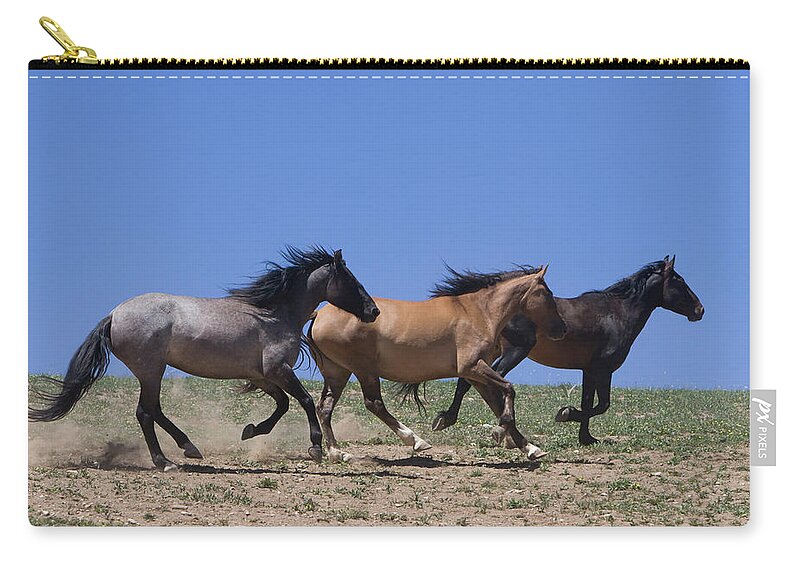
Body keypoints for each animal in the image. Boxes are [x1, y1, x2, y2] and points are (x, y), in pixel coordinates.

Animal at [29, 246, 380, 468]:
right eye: (351, 280)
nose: (373, 311)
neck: (275, 314)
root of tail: (114, 315)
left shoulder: (262, 375)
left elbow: (281, 405)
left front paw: (250, 430)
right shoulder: (278, 370)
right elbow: (305, 401)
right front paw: (315, 448)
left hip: (152, 371)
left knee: (153, 411)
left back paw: (188, 448)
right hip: (151, 370)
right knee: (145, 412)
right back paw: (166, 461)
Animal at [308, 266, 568, 462]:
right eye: (547, 294)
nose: (562, 329)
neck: (480, 312)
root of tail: (318, 315)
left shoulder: (475, 374)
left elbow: (495, 402)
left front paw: (530, 448)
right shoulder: (472, 367)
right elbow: (509, 389)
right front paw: (499, 432)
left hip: (338, 372)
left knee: (325, 408)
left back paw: (338, 453)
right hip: (363, 370)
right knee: (374, 404)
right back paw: (416, 441)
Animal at [434, 255, 704, 446]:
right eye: (680, 281)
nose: (700, 310)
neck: (617, 314)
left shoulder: (588, 370)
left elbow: (589, 402)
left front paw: (586, 438)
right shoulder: (603, 369)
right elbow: (601, 405)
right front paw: (565, 413)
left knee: (469, 381)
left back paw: (447, 419)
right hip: (515, 350)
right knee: (490, 382)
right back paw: (504, 430)